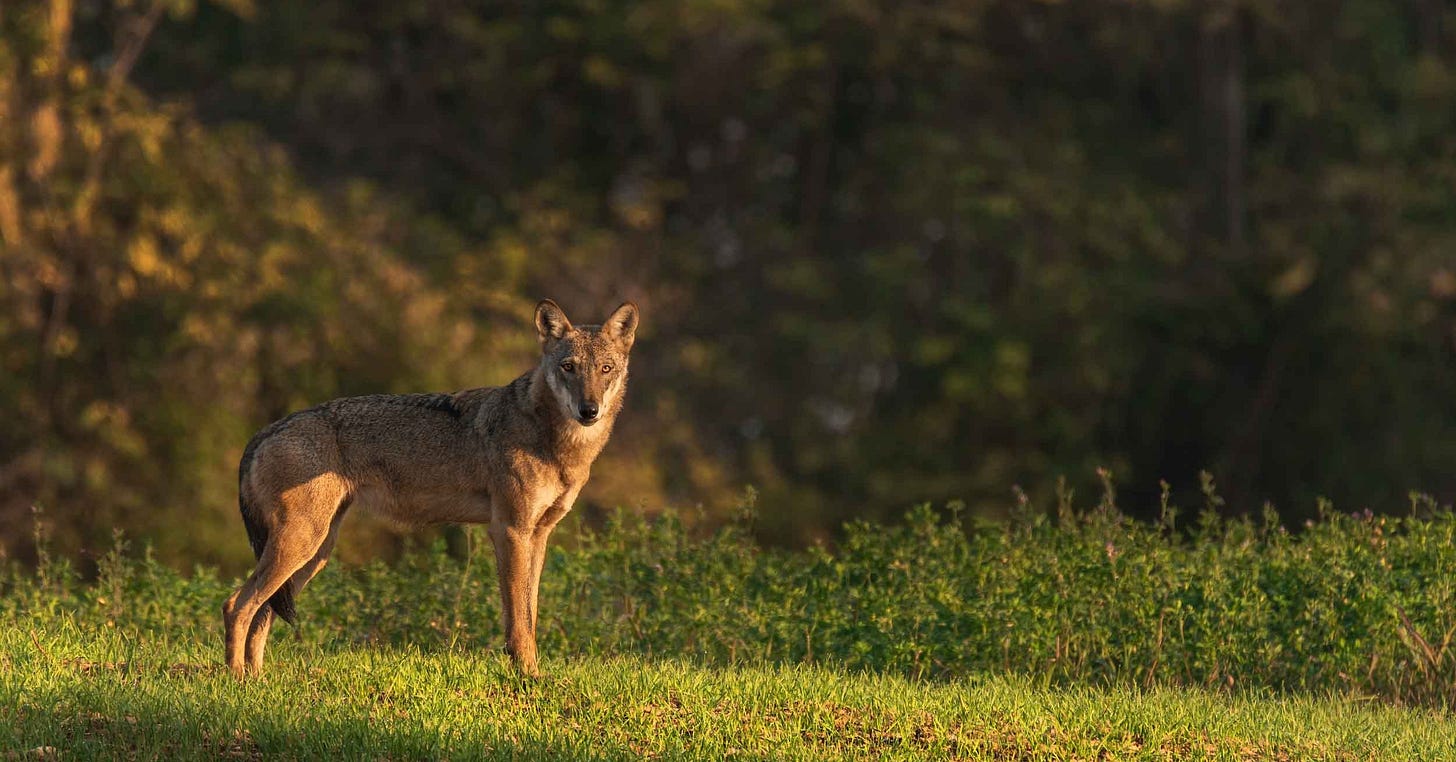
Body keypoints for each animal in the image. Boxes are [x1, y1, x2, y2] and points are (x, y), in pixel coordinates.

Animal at [222, 299, 638, 678]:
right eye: (568, 367)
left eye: (605, 369)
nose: (589, 410)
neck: (556, 442)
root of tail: (267, 429)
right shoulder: (509, 531)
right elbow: (519, 622)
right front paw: (528, 678)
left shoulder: (538, 534)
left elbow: (529, 614)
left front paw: (530, 674)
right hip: (301, 545)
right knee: (235, 604)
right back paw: (236, 679)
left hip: (314, 554)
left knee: (263, 612)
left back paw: (256, 680)